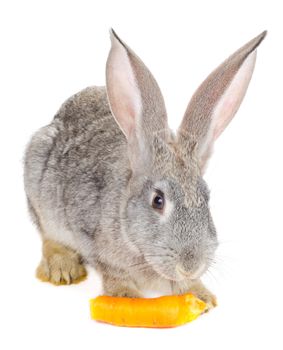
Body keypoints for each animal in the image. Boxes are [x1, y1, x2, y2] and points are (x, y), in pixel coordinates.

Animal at [23, 30, 266, 308]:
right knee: (48, 236)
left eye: (207, 199)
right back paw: (63, 269)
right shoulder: (92, 239)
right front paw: (126, 297)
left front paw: (201, 296)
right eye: (158, 201)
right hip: (39, 183)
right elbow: (113, 273)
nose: (191, 265)